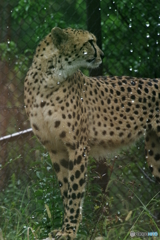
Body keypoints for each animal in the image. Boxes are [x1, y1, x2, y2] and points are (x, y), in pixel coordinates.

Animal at [24, 27, 160, 239]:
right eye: (90, 42)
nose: (102, 55)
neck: (48, 78)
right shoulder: (55, 149)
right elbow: (65, 190)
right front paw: (64, 228)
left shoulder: (78, 147)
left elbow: (74, 192)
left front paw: (69, 231)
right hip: (155, 154)